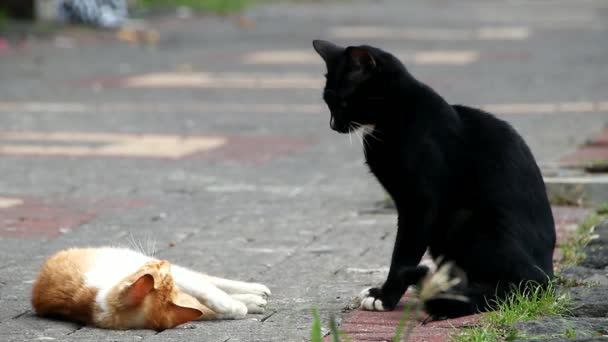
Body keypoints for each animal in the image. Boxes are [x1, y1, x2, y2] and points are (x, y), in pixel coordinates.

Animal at [31, 247, 270, 330]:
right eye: (158, 271)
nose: (163, 261)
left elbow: (205, 288)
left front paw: (237, 305)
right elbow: (207, 306)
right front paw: (238, 307)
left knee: (207, 279)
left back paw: (257, 290)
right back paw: (253, 300)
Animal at [314, 39, 556, 318]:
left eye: (343, 102)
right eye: (327, 102)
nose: (333, 125)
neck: (396, 115)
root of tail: (547, 275)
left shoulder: (420, 203)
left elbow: (403, 255)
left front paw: (384, 297)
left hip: (464, 220)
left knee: (514, 283)